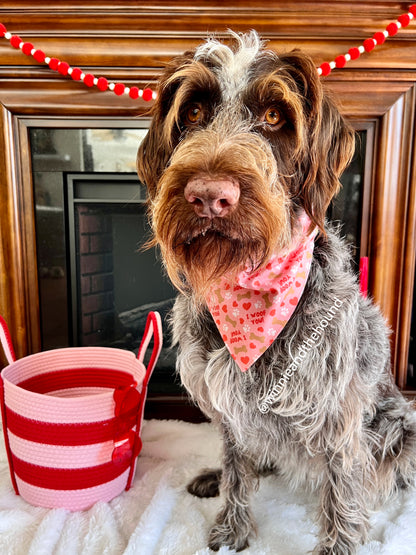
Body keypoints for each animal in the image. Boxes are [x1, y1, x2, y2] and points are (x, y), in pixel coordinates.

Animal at [137, 31, 416, 555]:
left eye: (273, 117)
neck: (249, 286)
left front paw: (338, 547)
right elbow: (238, 467)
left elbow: (343, 489)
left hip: (399, 426)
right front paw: (232, 529)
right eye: (193, 112)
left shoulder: (338, 412)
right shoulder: (228, 403)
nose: (209, 196)